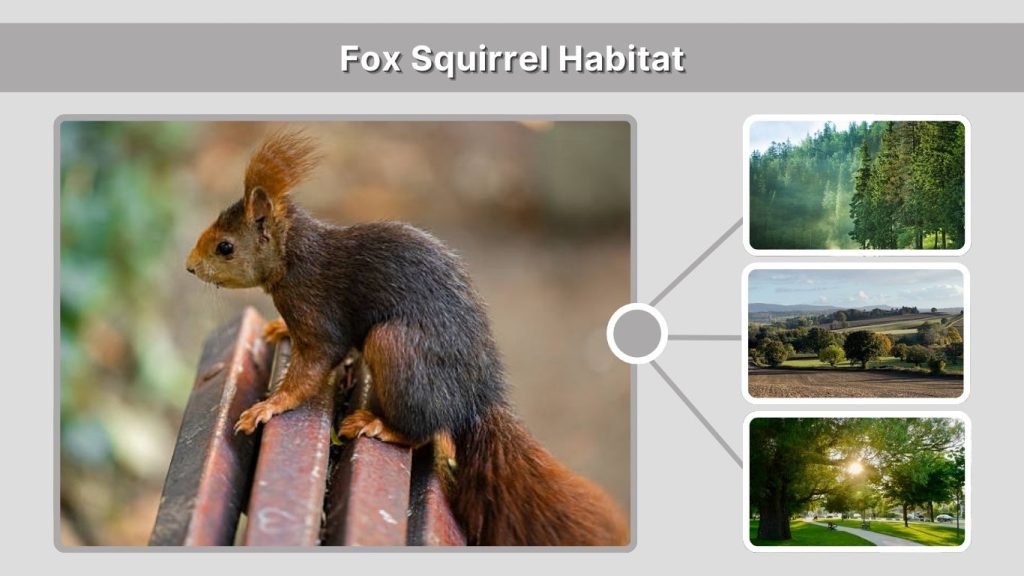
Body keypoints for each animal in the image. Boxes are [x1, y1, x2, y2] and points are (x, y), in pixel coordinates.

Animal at [185, 130, 628, 546]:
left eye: (225, 247)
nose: (189, 267)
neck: (293, 256)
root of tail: (475, 399)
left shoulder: (318, 313)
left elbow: (312, 368)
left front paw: (269, 406)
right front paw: (278, 328)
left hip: (392, 346)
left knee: (422, 432)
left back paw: (379, 426)